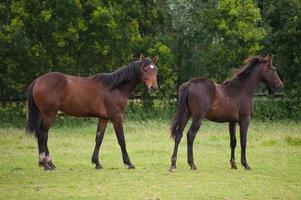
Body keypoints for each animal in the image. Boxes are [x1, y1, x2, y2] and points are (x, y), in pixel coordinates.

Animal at [26, 54, 158, 170]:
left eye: (155, 69)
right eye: (145, 69)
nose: (154, 87)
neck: (115, 88)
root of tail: (38, 81)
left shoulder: (104, 118)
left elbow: (99, 139)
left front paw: (96, 163)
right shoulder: (117, 117)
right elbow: (121, 139)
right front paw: (129, 163)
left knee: (44, 135)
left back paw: (49, 163)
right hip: (49, 115)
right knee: (42, 135)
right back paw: (45, 164)